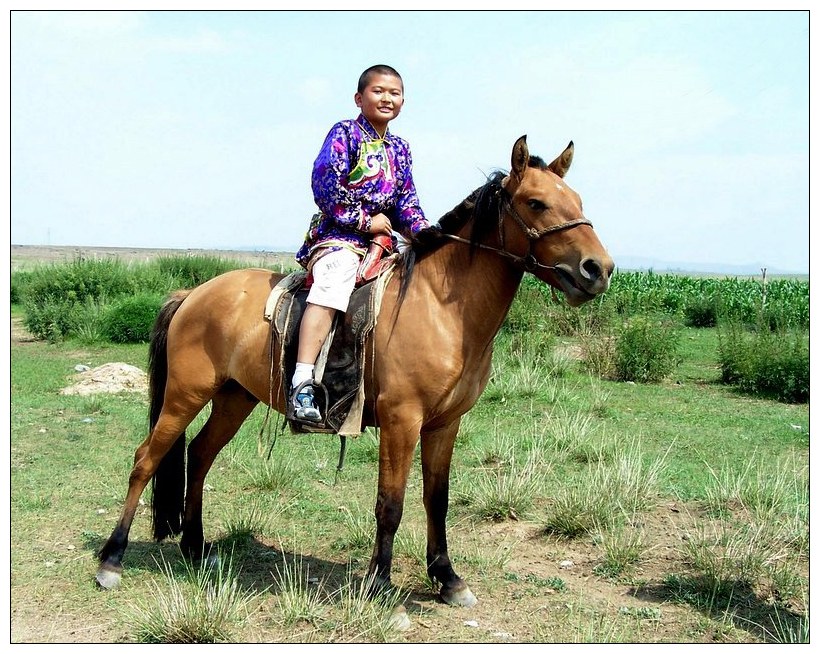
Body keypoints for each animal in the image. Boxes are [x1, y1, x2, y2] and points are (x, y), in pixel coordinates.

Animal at [96, 135, 612, 616]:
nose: (599, 269)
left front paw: (447, 579)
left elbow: (437, 499)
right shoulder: (402, 421)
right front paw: (379, 583)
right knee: (146, 459)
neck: (442, 307)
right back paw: (112, 559)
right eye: (536, 203)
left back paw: (195, 548)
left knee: (200, 456)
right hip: (185, 395)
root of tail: (193, 294)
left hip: (233, 398)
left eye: (578, 200)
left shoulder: (445, 424)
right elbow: (391, 503)